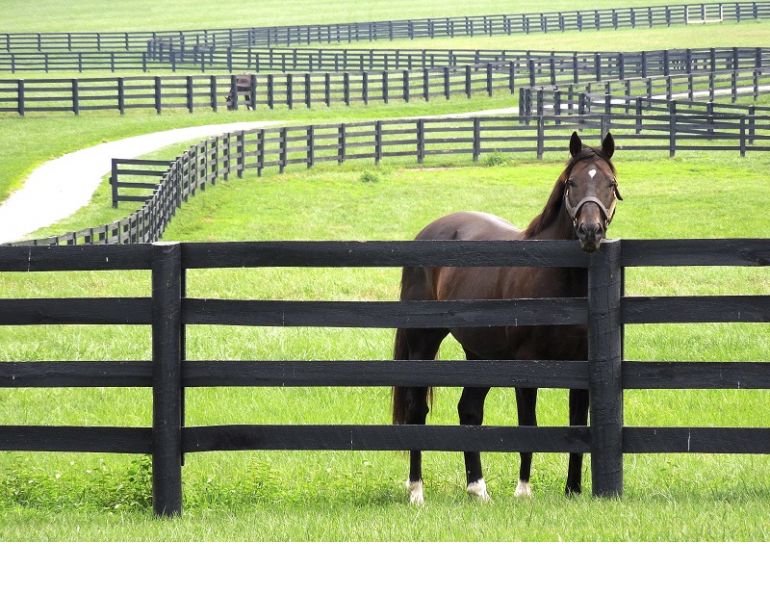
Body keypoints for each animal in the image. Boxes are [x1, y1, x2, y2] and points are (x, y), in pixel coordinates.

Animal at [392, 131, 622, 505]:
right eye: (571, 183)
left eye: (610, 183)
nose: (591, 231)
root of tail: (430, 231)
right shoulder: (527, 364)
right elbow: (528, 426)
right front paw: (524, 490)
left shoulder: (579, 365)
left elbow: (577, 425)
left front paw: (572, 491)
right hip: (424, 342)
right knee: (417, 410)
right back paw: (416, 491)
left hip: (481, 354)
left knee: (469, 410)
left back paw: (478, 489)